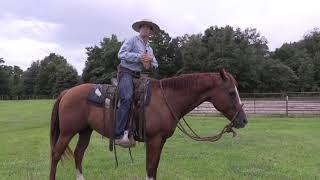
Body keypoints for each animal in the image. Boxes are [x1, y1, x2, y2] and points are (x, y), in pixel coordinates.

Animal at [48, 69, 248, 179]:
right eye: (231, 93)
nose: (244, 120)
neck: (167, 99)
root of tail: (67, 92)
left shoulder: (159, 141)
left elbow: (153, 167)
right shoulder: (154, 139)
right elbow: (151, 168)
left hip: (85, 131)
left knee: (78, 154)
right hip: (67, 132)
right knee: (56, 154)